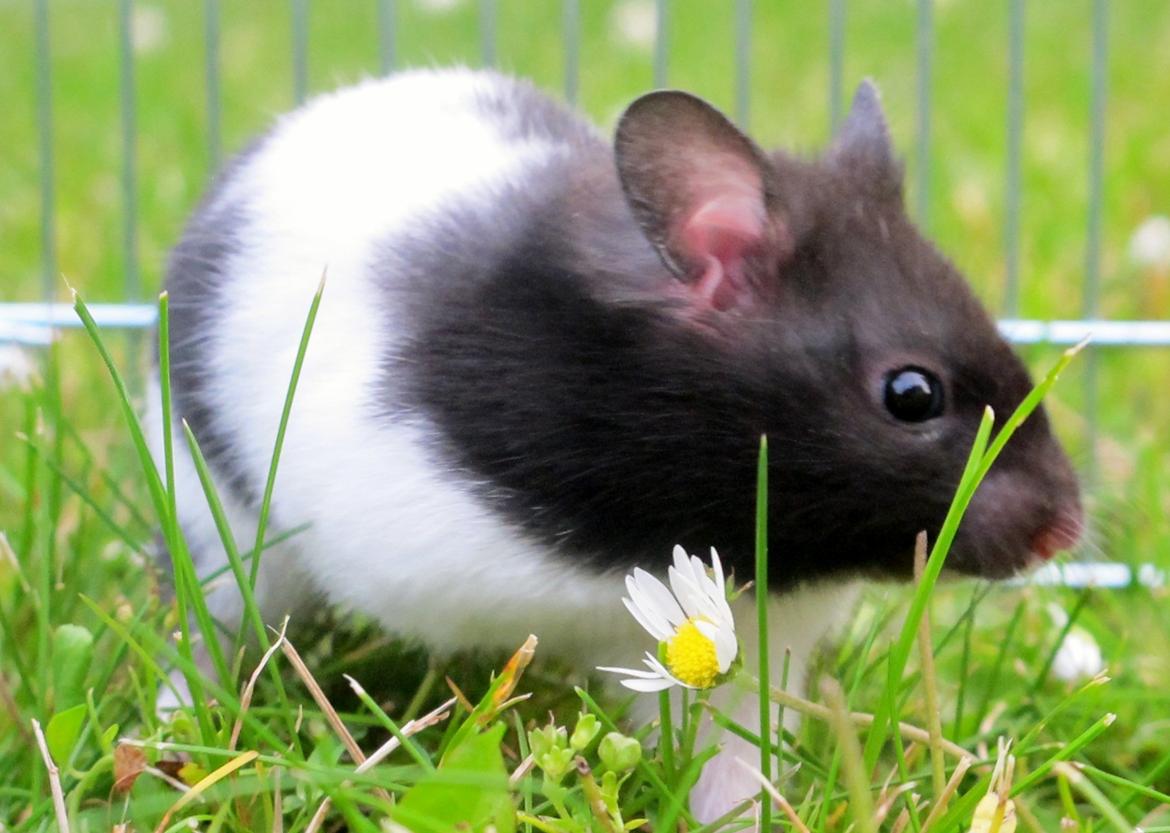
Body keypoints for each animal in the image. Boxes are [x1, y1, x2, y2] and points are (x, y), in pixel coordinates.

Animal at [150, 68, 1082, 822]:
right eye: (912, 395)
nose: (1064, 533)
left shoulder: (749, 644)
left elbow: (732, 759)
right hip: (216, 516)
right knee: (207, 619)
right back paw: (174, 732)